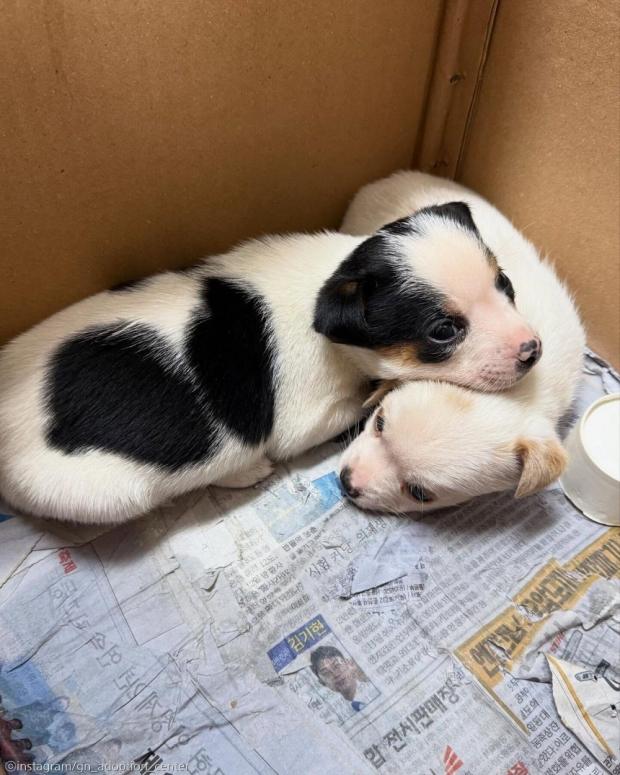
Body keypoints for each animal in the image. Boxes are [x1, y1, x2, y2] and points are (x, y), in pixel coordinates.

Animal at [0, 206, 536, 524]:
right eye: (442, 331)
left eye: (507, 284)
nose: (533, 351)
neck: (333, 280)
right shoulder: (306, 419)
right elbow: (357, 405)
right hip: (105, 492)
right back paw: (244, 471)